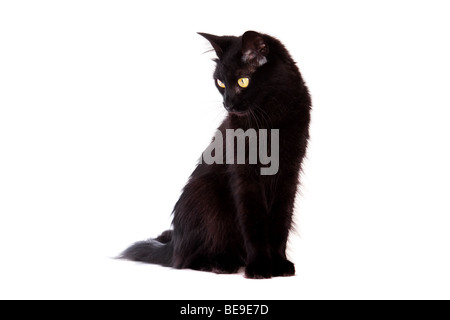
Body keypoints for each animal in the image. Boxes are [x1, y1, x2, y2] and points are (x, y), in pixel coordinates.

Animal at [121, 31, 312, 278]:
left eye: (242, 81)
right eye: (220, 83)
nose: (227, 103)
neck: (270, 117)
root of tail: (173, 245)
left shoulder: (289, 173)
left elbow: (281, 222)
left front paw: (279, 264)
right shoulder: (245, 176)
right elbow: (254, 223)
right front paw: (260, 266)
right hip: (207, 195)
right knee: (185, 260)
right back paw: (220, 263)